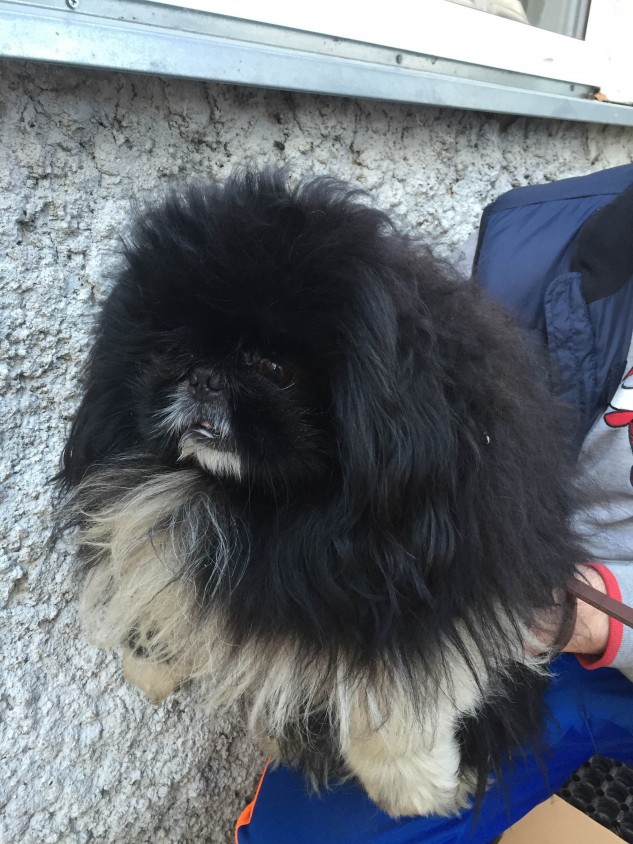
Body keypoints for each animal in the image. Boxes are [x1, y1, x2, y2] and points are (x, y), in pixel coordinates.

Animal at [58, 168, 582, 818]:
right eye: (174, 351)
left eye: (274, 370)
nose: (204, 377)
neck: (266, 509)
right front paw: (150, 660)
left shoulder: (423, 605)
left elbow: (389, 711)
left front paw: (418, 792)